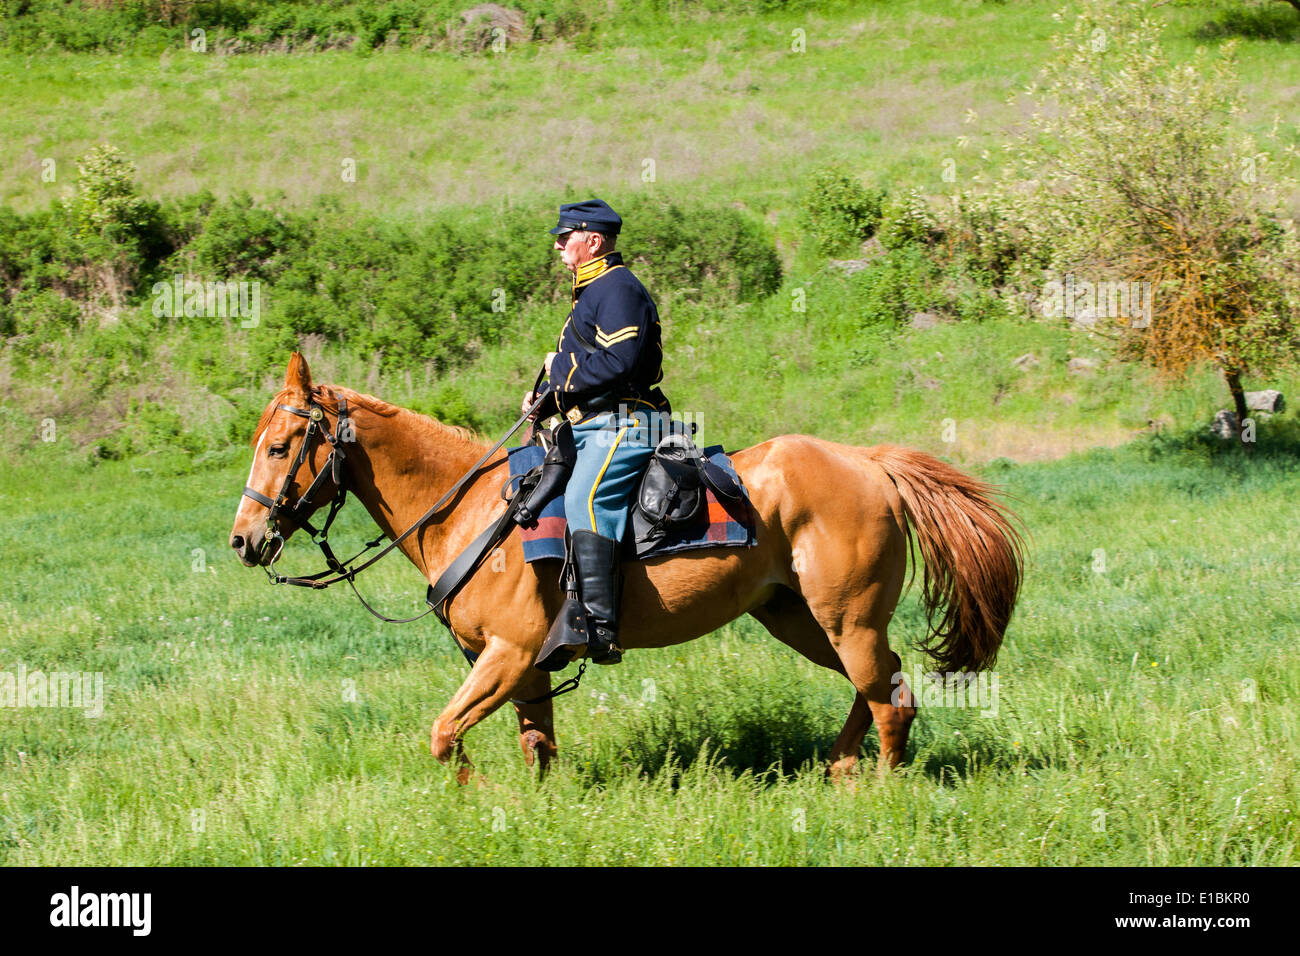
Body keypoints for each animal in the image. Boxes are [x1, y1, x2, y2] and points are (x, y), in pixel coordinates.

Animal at [231, 356, 1024, 780]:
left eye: (280, 447)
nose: (243, 540)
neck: (474, 510)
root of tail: (870, 462)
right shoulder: (525, 668)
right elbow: (537, 745)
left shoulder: (508, 653)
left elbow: (445, 734)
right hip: (801, 620)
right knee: (880, 685)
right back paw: (840, 768)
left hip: (846, 619)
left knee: (893, 699)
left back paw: (877, 791)